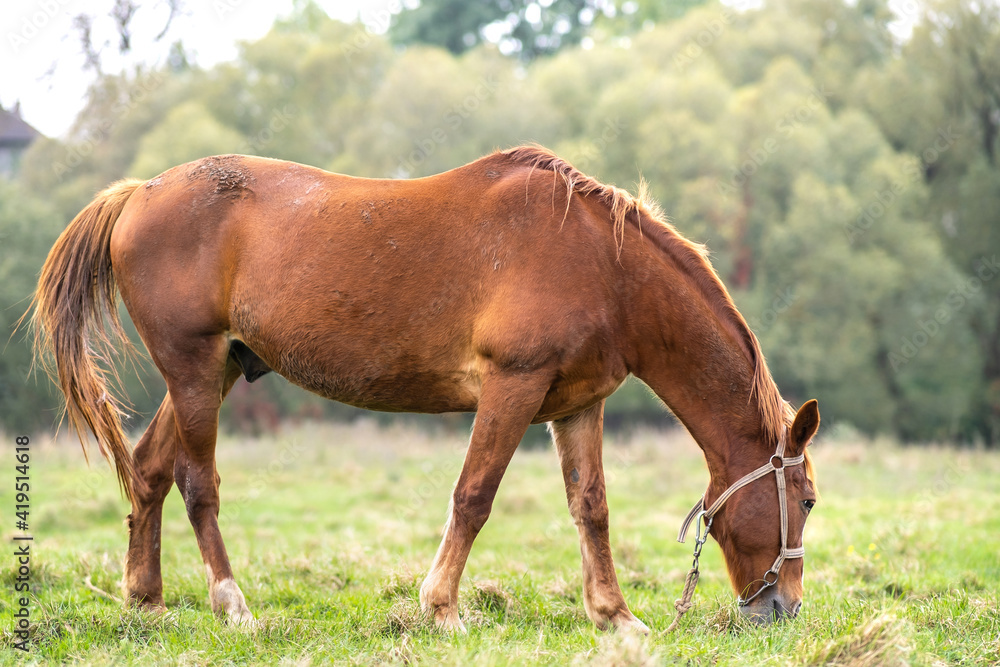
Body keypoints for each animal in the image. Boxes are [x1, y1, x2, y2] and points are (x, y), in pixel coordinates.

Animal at [35, 146, 824, 632]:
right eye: (808, 500)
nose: (783, 607)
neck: (605, 264)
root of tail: (138, 194)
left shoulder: (576, 406)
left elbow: (591, 509)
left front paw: (614, 615)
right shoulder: (512, 387)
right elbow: (473, 498)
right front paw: (441, 607)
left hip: (219, 369)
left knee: (149, 469)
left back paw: (146, 600)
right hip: (195, 370)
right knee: (198, 482)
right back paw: (232, 603)